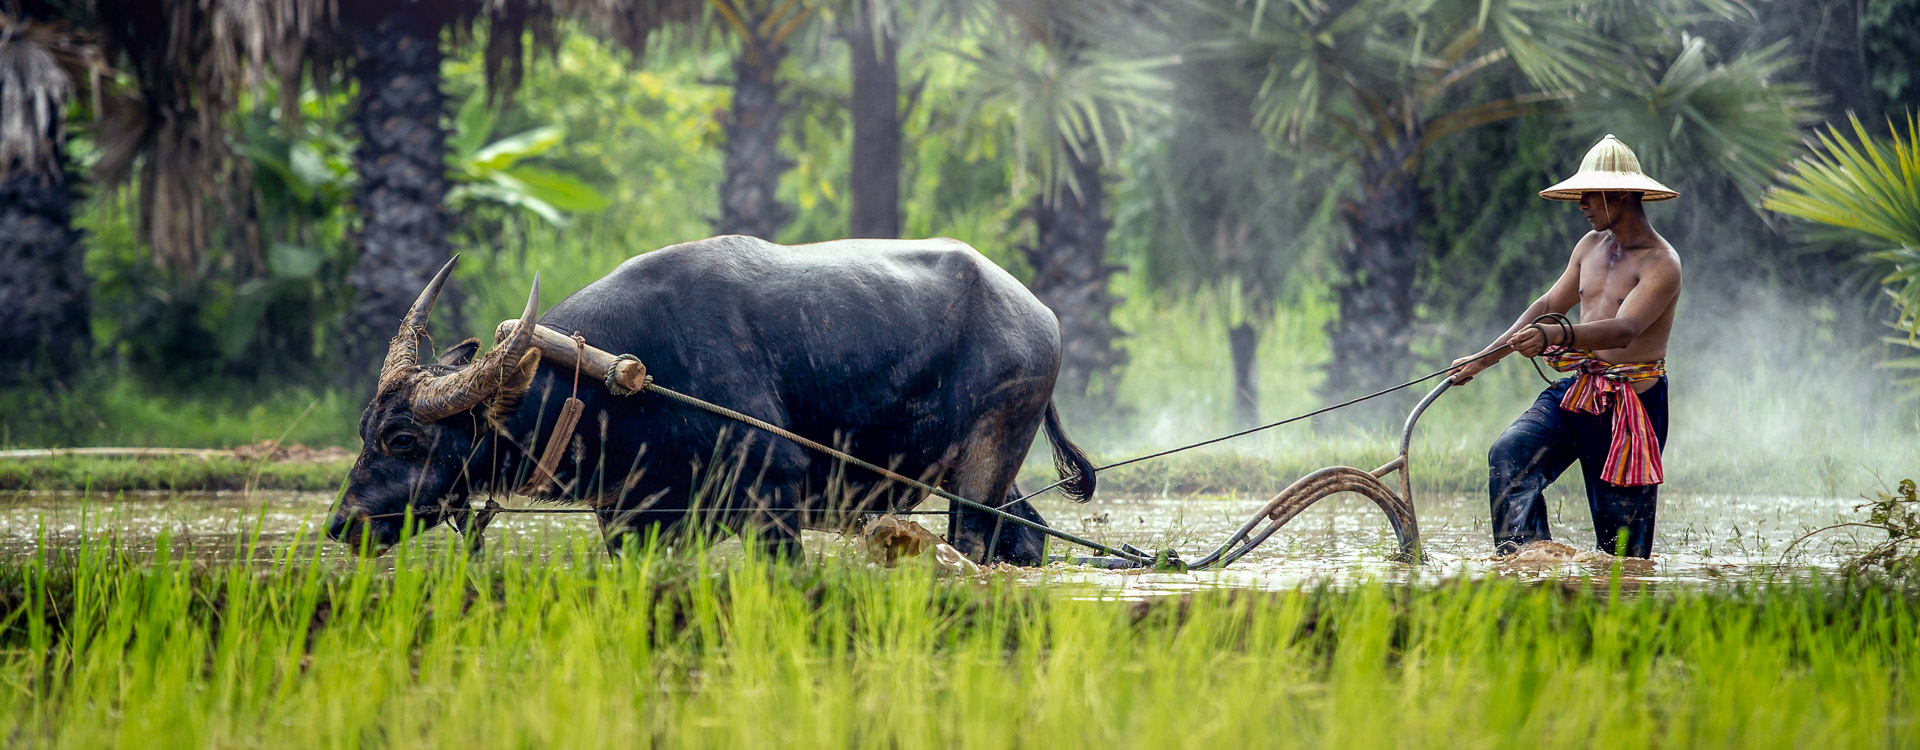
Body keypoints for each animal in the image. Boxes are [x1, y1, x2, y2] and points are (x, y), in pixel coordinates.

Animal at [330, 234, 1098, 563]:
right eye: (366, 430)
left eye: (404, 439)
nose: (342, 524)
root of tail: (1041, 314)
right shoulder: (633, 521)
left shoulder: (774, 499)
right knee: (1023, 537)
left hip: (984, 460)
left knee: (973, 540)